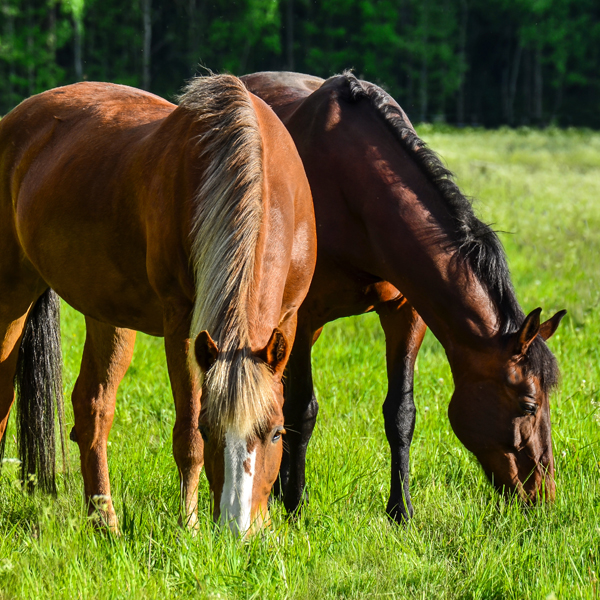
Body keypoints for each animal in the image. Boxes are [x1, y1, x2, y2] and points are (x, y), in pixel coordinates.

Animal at [0, 74, 316, 536]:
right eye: (211, 429)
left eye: (275, 433)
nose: (238, 530)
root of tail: (15, 119)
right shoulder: (182, 325)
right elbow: (187, 436)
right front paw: (190, 527)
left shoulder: (288, 319)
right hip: (11, 295)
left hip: (107, 315)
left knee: (92, 409)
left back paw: (105, 522)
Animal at [241, 69, 564, 520]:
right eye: (529, 405)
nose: (543, 495)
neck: (353, 190)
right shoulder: (303, 318)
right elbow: (302, 410)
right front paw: (297, 504)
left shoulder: (406, 312)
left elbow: (401, 413)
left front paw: (401, 509)